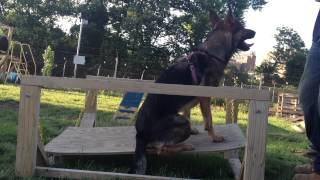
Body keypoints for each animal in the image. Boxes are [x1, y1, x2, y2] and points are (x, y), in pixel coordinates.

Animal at [130, 8, 255, 174]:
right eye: (242, 27)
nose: (255, 32)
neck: (212, 53)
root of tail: (140, 134)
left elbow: (188, 111)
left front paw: (197, 130)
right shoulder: (205, 98)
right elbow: (209, 120)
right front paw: (215, 137)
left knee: (154, 148)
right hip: (181, 124)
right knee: (158, 148)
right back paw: (185, 146)